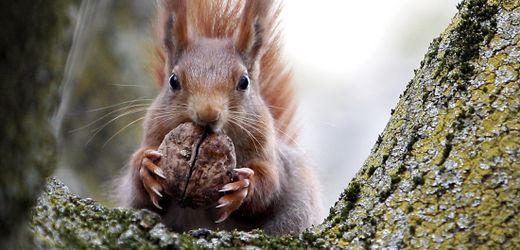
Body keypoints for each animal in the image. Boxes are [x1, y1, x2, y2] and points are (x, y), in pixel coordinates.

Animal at [116, 0, 322, 235]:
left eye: (244, 82)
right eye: (173, 80)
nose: (208, 114)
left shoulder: (267, 151)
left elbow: (269, 184)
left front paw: (244, 186)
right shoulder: (153, 133)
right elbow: (141, 194)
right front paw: (146, 168)